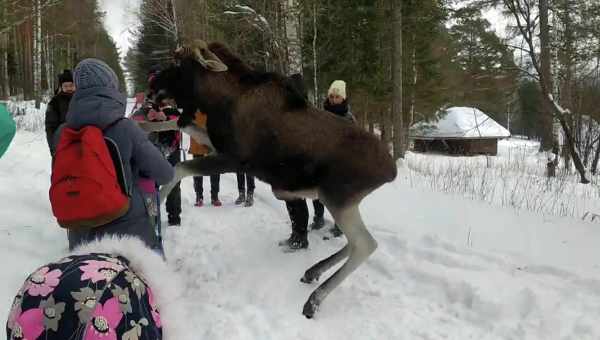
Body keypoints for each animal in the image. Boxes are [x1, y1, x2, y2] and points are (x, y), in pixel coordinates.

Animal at [144, 40, 398, 318]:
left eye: (179, 62)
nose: (152, 86)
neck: (218, 100)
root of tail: (391, 171)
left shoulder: (235, 159)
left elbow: (179, 167)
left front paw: (155, 207)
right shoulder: (215, 143)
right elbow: (177, 126)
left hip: (337, 198)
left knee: (365, 244)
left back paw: (313, 300)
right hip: (341, 202)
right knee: (354, 243)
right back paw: (312, 272)